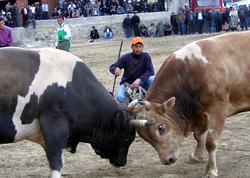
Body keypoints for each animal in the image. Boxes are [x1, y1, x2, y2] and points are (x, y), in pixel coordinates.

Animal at [128, 31, 250, 177]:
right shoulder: (200, 114)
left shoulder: (217, 110)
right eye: (144, 137)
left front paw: (211, 170)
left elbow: (211, 142)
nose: (167, 160)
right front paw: (196, 155)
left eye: (161, 128)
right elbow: (199, 136)